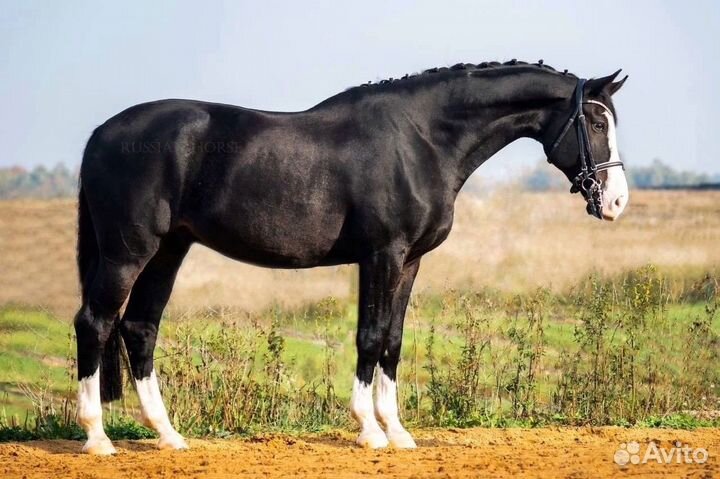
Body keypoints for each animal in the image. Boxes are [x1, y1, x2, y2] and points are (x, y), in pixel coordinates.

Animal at [73, 60, 628, 454]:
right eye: (596, 121)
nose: (617, 202)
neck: (421, 140)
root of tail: (100, 133)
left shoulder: (409, 261)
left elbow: (393, 341)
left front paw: (398, 432)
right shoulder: (382, 255)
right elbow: (369, 336)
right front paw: (370, 431)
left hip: (169, 250)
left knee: (139, 328)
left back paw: (168, 436)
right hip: (128, 252)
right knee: (94, 322)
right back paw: (98, 439)